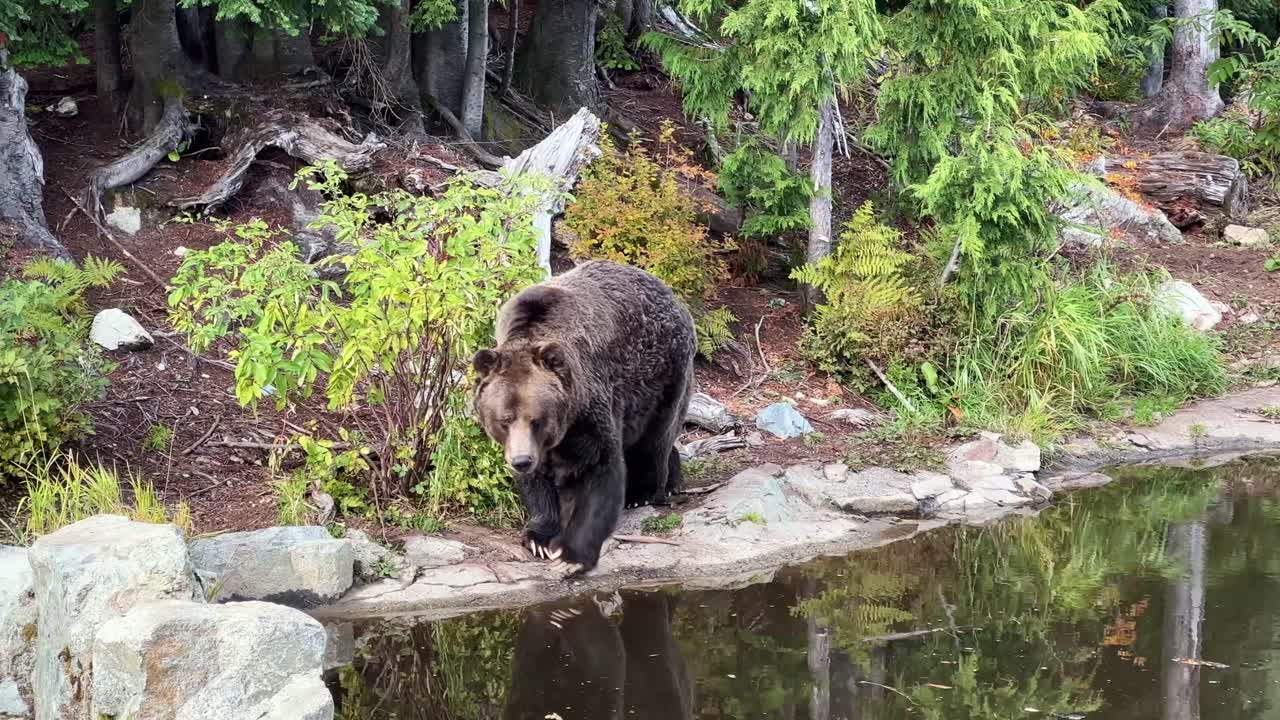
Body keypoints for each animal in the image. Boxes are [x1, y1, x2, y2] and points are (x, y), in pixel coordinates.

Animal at [472, 260, 696, 576]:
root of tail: (672, 294)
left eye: (536, 420)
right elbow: (538, 485)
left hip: (663, 373)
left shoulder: (588, 407)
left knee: (655, 436)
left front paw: (571, 555)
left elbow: (600, 469)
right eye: (504, 420)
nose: (522, 461)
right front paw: (539, 537)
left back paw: (643, 490)